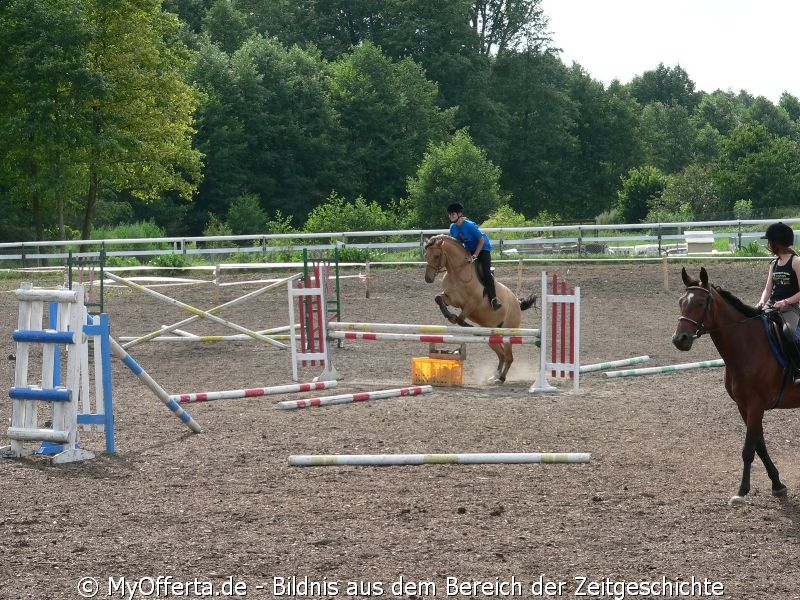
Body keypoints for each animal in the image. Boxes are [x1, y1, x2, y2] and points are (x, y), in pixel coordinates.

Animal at [422, 232, 536, 382]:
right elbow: (439, 299)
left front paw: (463, 323)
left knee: (509, 357)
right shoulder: (451, 298)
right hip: (492, 337)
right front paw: (449, 315)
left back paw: (501, 377)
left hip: (507, 333)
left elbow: (460, 319)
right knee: (501, 355)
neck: (457, 271)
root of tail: (517, 303)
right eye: (426, 255)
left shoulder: (472, 304)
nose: (428, 279)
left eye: (436, 256)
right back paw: (494, 375)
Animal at [676, 264, 800, 504]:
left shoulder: (755, 405)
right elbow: (759, 446)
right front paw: (777, 484)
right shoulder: (744, 406)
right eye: (681, 302)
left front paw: (742, 491)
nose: (680, 340)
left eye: (701, 303)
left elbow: (748, 450)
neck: (747, 345)